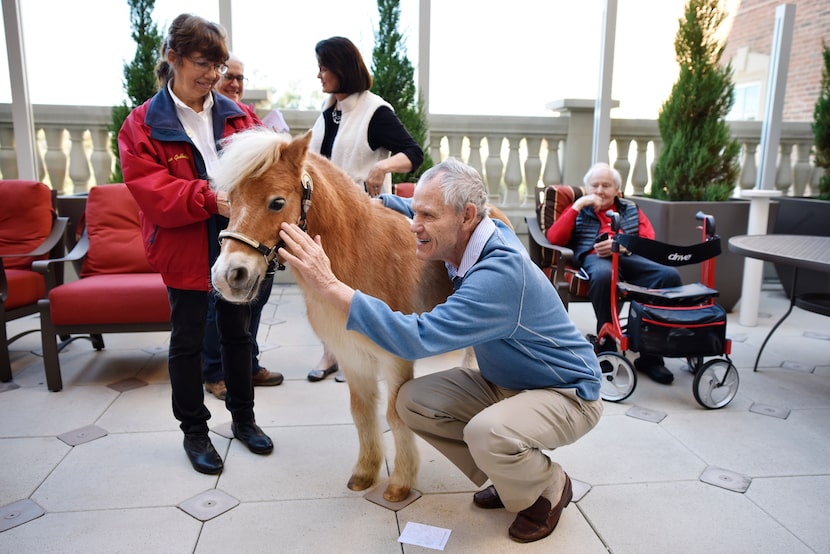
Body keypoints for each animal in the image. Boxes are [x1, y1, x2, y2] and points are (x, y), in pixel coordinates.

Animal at [208, 129, 456, 500]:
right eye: (231, 199)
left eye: (276, 202)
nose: (228, 276)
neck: (362, 254)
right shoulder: (351, 356)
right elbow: (362, 413)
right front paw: (365, 473)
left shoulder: (396, 359)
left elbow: (394, 415)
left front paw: (400, 482)